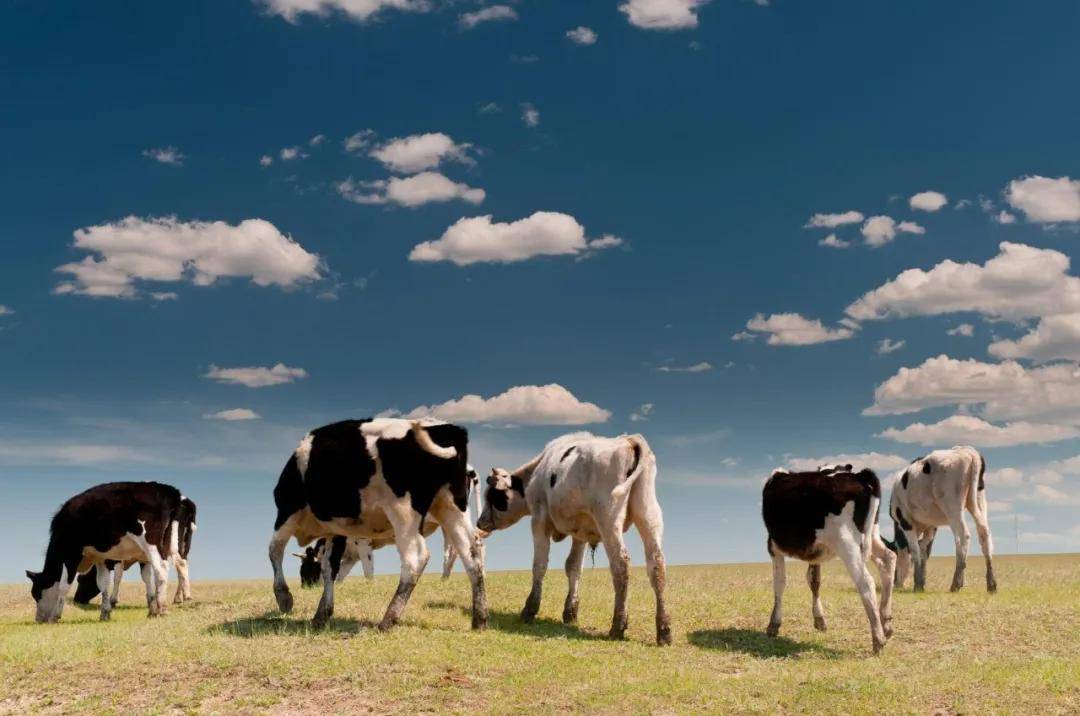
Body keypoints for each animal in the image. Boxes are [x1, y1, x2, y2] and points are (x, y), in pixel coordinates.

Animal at [26, 483, 192, 626]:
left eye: (36, 594)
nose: (38, 619)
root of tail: (170, 491)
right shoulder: (101, 558)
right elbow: (103, 583)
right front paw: (105, 613)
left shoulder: (71, 555)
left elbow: (63, 586)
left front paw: (55, 616)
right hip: (170, 544)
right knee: (177, 565)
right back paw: (156, 609)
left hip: (151, 542)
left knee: (161, 569)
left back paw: (162, 609)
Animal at [267, 416, 488, 630]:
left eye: (304, 570)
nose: (305, 586)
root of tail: (447, 428)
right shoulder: (337, 531)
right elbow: (330, 569)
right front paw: (322, 613)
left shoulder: (287, 512)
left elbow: (274, 550)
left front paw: (284, 598)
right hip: (451, 507)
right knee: (472, 553)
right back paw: (480, 619)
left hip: (403, 512)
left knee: (417, 558)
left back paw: (388, 620)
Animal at [479, 434, 669, 647]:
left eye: (493, 497)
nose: (480, 521)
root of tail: (629, 440)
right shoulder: (581, 534)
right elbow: (573, 567)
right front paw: (570, 612)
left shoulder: (539, 521)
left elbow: (539, 566)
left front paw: (530, 609)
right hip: (649, 516)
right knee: (656, 564)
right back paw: (664, 630)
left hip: (609, 520)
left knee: (621, 564)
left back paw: (618, 625)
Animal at [764, 464, 898, 656]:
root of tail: (860, 475)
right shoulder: (815, 552)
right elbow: (814, 580)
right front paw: (819, 619)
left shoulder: (773, 546)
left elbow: (780, 582)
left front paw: (774, 624)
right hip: (872, 535)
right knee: (888, 559)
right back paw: (885, 623)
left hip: (847, 544)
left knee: (866, 582)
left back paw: (878, 639)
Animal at [885, 449, 993, 591]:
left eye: (894, 555)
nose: (895, 583)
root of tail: (968, 452)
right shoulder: (931, 526)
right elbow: (924, 551)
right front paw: (922, 581)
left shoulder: (906, 522)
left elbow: (915, 550)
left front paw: (918, 584)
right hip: (978, 500)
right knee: (984, 532)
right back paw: (991, 584)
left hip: (952, 506)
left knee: (963, 536)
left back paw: (956, 583)